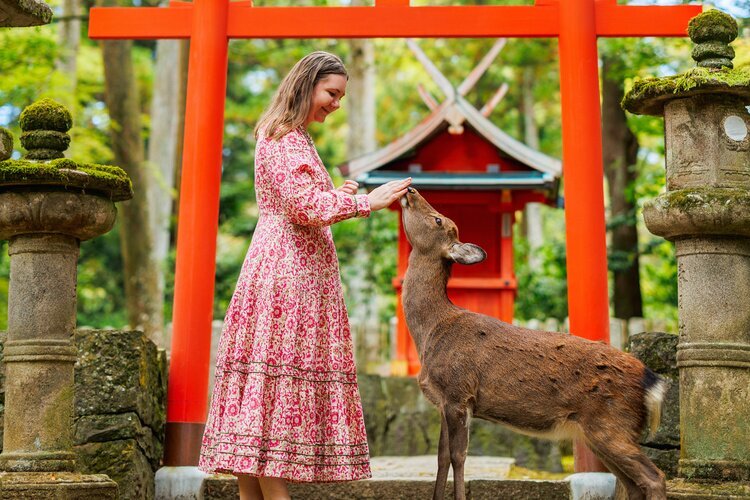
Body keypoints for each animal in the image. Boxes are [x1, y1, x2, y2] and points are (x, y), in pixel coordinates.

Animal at [399, 187, 668, 500]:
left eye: (438, 219)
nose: (410, 189)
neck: (431, 331)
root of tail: (651, 380)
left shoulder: (458, 392)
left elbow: (459, 457)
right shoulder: (442, 401)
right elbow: (441, 458)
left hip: (612, 423)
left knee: (653, 477)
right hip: (600, 431)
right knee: (632, 483)